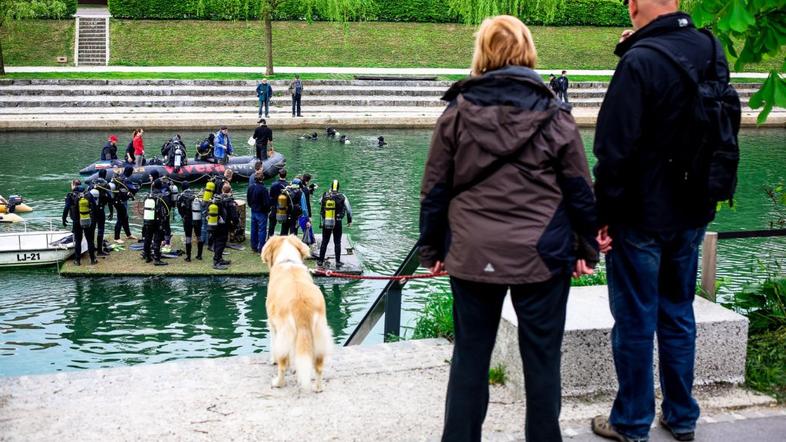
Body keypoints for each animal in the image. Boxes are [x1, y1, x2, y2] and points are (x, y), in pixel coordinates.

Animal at [258, 237, 330, 392]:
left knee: (282, 365)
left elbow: (274, 347)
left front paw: (273, 360)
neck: (287, 260)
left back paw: (278, 383)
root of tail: (300, 303)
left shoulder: (273, 326)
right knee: (319, 366)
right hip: (319, 334)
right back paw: (318, 387)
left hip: (284, 332)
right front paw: (296, 370)